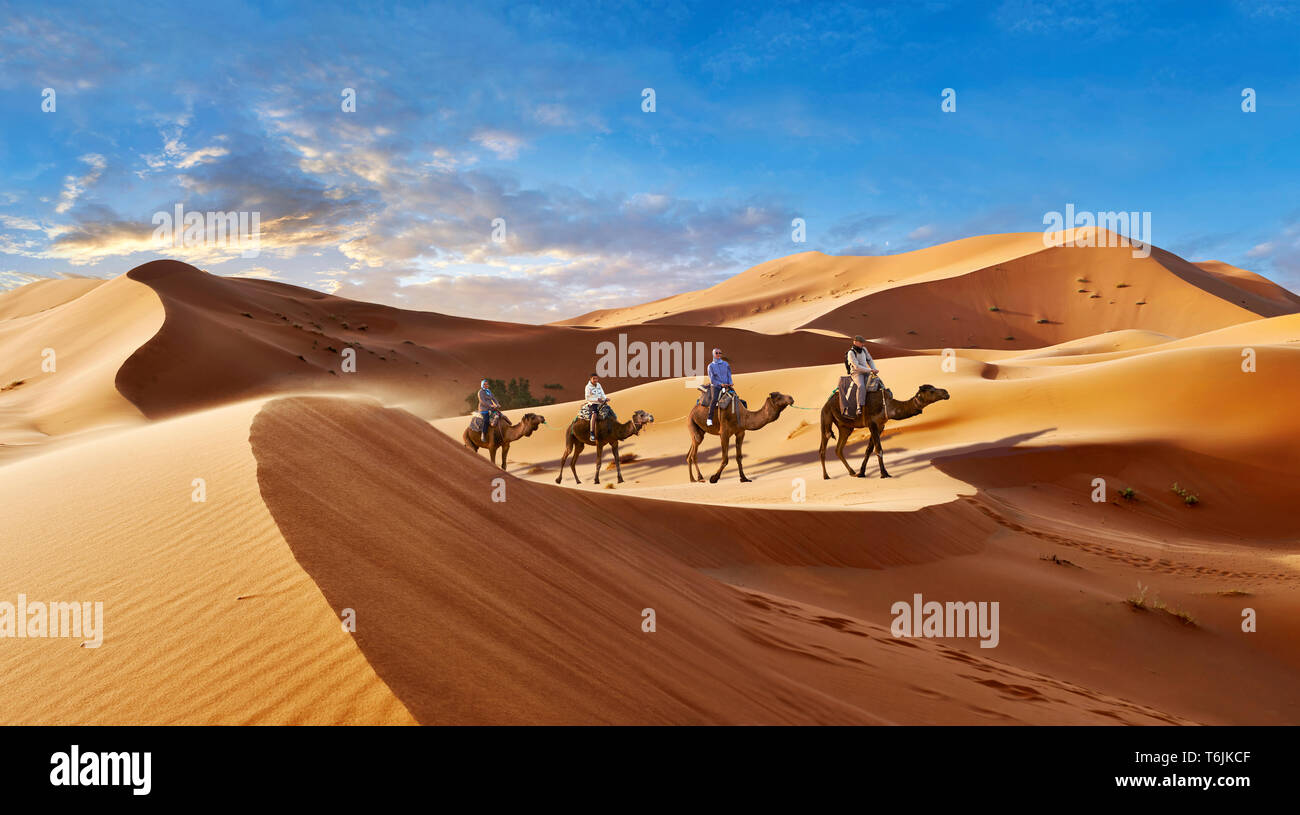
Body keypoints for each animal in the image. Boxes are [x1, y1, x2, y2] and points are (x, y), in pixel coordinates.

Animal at [816, 382, 951, 478]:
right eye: (931, 391)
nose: (946, 393)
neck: (888, 406)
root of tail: (826, 403)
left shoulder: (880, 426)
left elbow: (869, 450)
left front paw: (861, 473)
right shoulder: (872, 423)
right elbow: (878, 449)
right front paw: (884, 473)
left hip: (845, 427)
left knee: (839, 449)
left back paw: (852, 472)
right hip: (826, 416)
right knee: (824, 443)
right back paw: (826, 476)